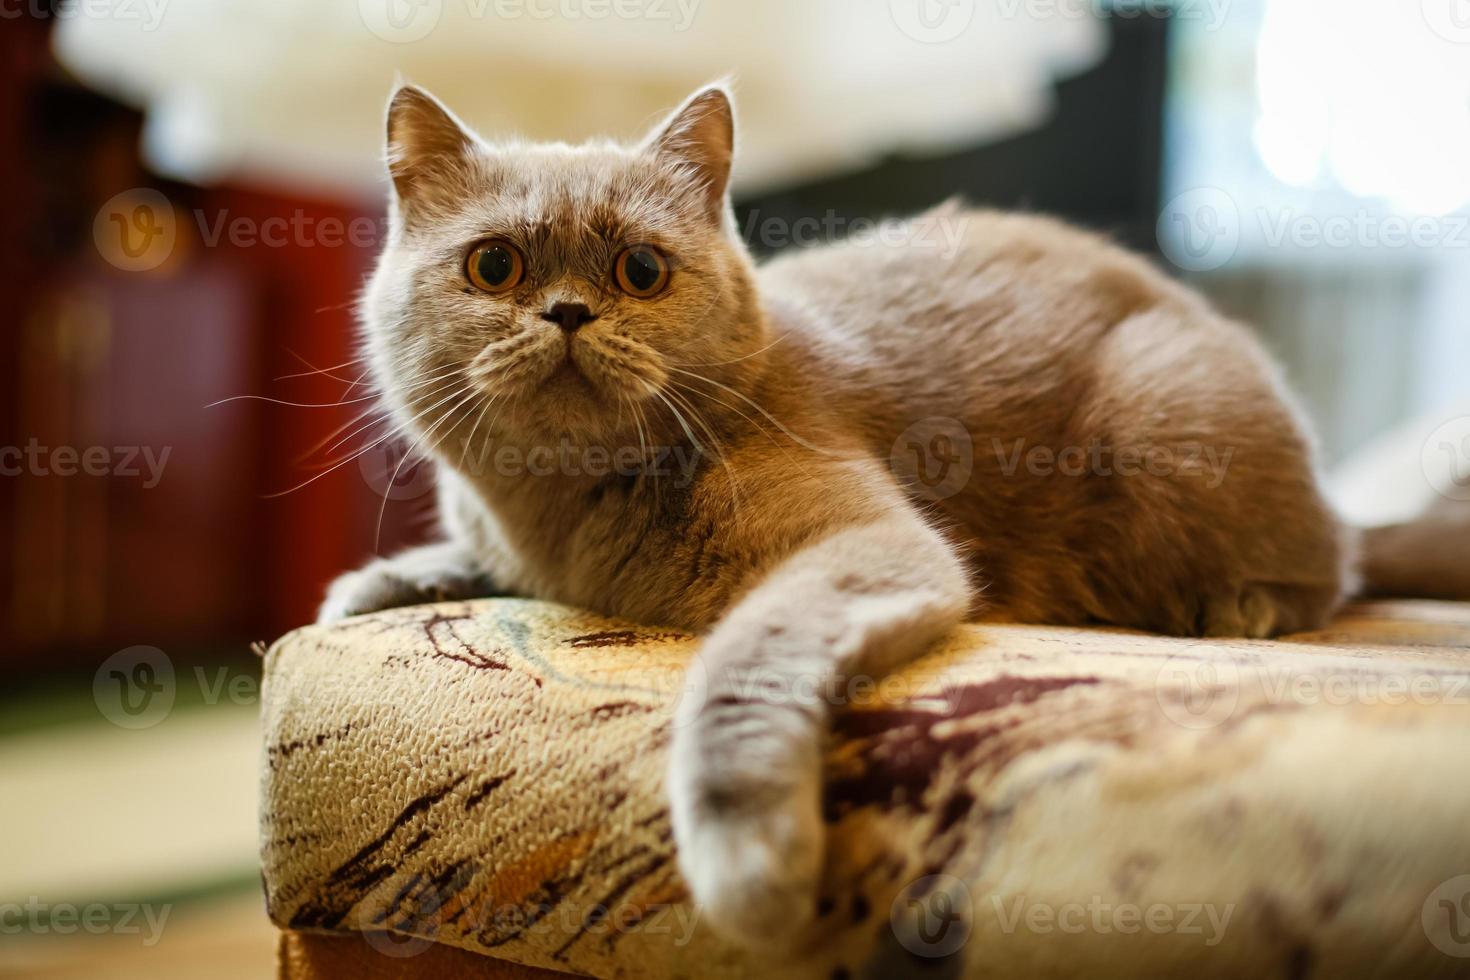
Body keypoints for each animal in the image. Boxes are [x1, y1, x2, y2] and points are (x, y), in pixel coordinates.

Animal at [318, 82, 1434, 952]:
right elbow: (455, 557)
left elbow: (737, 669)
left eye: (640, 269)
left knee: (1330, 568)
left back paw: (1242, 604)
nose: (566, 312)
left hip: (1169, 421)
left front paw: (750, 870)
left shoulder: (870, 547)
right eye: (494, 266)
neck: (560, 517)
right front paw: (371, 586)